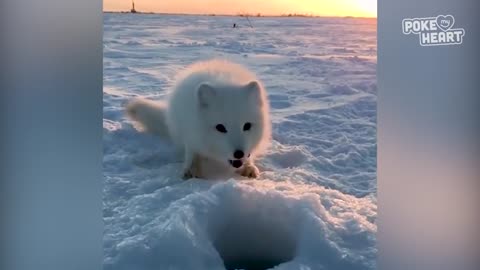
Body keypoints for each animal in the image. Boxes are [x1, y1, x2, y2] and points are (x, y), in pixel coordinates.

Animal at [126, 59, 270, 179]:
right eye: (220, 128)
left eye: (247, 126)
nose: (239, 153)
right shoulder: (191, 135)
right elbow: (192, 153)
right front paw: (190, 170)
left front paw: (248, 167)